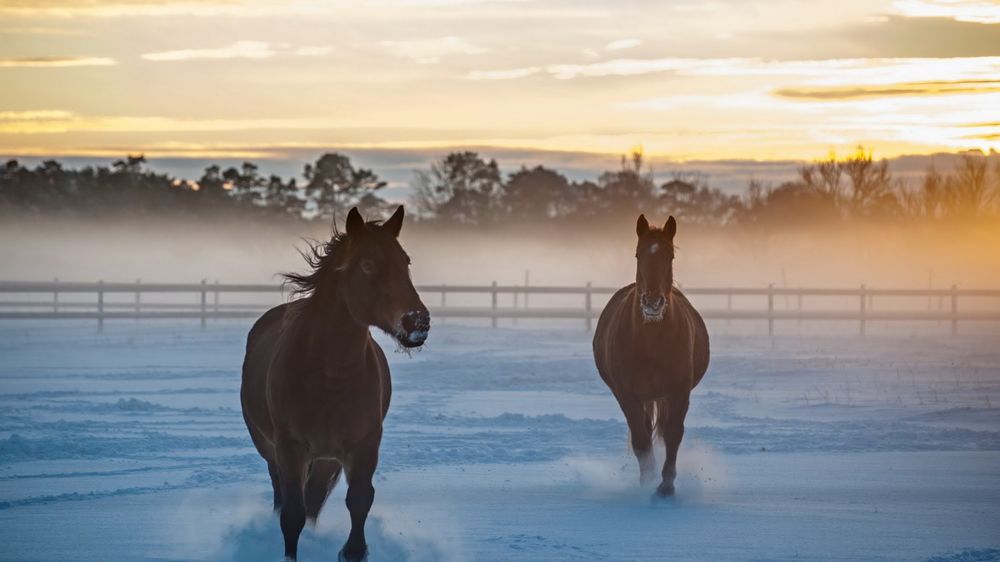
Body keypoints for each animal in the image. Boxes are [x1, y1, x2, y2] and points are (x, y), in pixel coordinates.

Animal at [244, 206, 432, 560]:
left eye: (406, 262)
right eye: (368, 264)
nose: (418, 322)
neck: (330, 379)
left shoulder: (364, 446)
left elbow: (358, 503)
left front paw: (351, 550)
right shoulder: (290, 448)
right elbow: (292, 515)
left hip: (325, 459)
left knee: (314, 500)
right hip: (272, 449)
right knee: (282, 496)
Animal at [592, 212, 712, 496]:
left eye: (671, 256)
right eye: (638, 254)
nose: (652, 303)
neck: (650, 343)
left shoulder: (679, 391)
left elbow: (673, 434)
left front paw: (666, 486)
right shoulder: (627, 394)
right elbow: (641, 441)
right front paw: (647, 483)